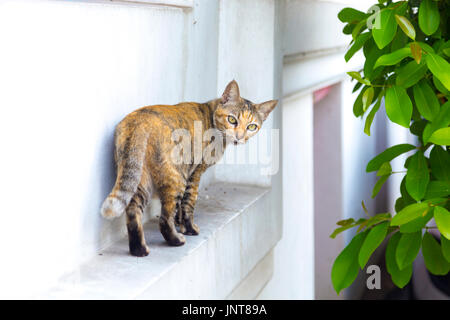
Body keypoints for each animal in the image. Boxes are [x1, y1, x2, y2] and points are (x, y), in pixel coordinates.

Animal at [101, 80, 278, 258]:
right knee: (164, 218)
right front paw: (189, 229)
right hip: (176, 177)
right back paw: (175, 240)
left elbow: (180, 208)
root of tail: (140, 122)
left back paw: (139, 249)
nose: (239, 137)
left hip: (139, 178)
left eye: (252, 126)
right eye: (232, 119)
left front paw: (180, 224)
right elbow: (189, 202)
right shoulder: (195, 173)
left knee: (133, 211)